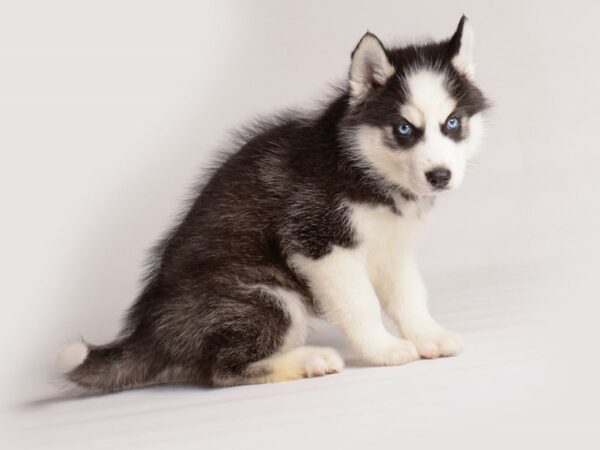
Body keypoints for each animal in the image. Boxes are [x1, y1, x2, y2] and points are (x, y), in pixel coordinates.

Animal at [57, 16, 488, 390]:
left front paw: (429, 336)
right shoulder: (319, 241)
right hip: (267, 296)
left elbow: (409, 295)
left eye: (452, 123)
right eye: (403, 129)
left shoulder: (391, 248)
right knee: (221, 371)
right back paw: (309, 360)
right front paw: (385, 349)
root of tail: (149, 333)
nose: (440, 176)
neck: (364, 170)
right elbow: (360, 303)